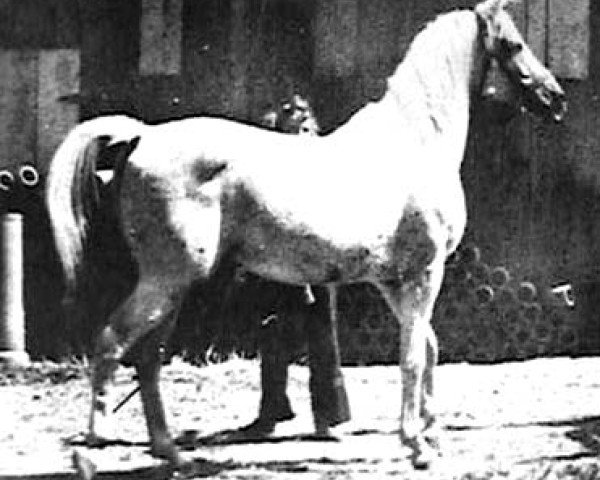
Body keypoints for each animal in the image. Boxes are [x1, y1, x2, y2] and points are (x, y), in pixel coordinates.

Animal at [45, 0, 564, 468]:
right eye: (514, 44)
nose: (556, 99)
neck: (415, 140)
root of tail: (143, 136)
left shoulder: (392, 280)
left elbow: (428, 348)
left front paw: (432, 437)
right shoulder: (424, 272)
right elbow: (414, 356)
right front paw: (417, 446)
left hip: (172, 287)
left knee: (148, 358)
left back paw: (171, 452)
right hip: (166, 281)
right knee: (111, 343)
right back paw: (97, 445)